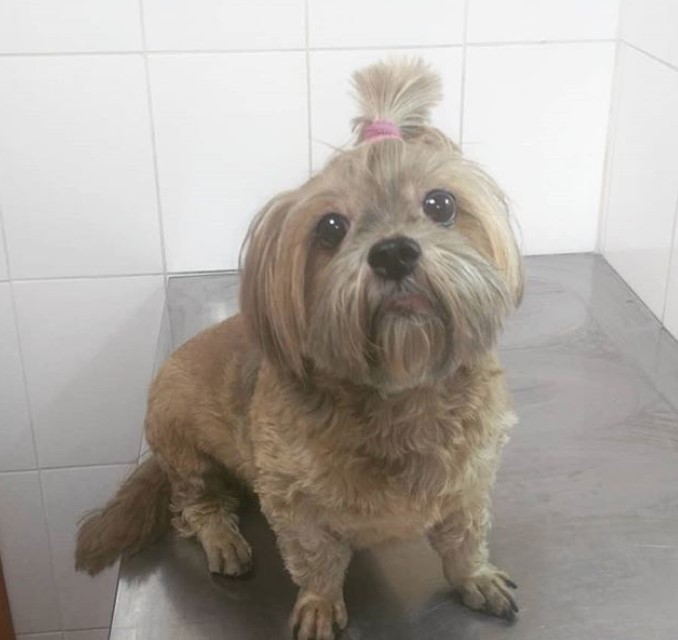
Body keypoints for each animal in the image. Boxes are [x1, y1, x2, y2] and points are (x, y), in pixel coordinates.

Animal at [78, 58, 524, 640]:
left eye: (440, 203)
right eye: (331, 227)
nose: (394, 253)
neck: (401, 397)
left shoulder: (470, 482)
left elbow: (464, 539)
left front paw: (476, 577)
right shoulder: (292, 501)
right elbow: (316, 558)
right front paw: (319, 604)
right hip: (183, 448)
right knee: (196, 505)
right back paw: (223, 538)